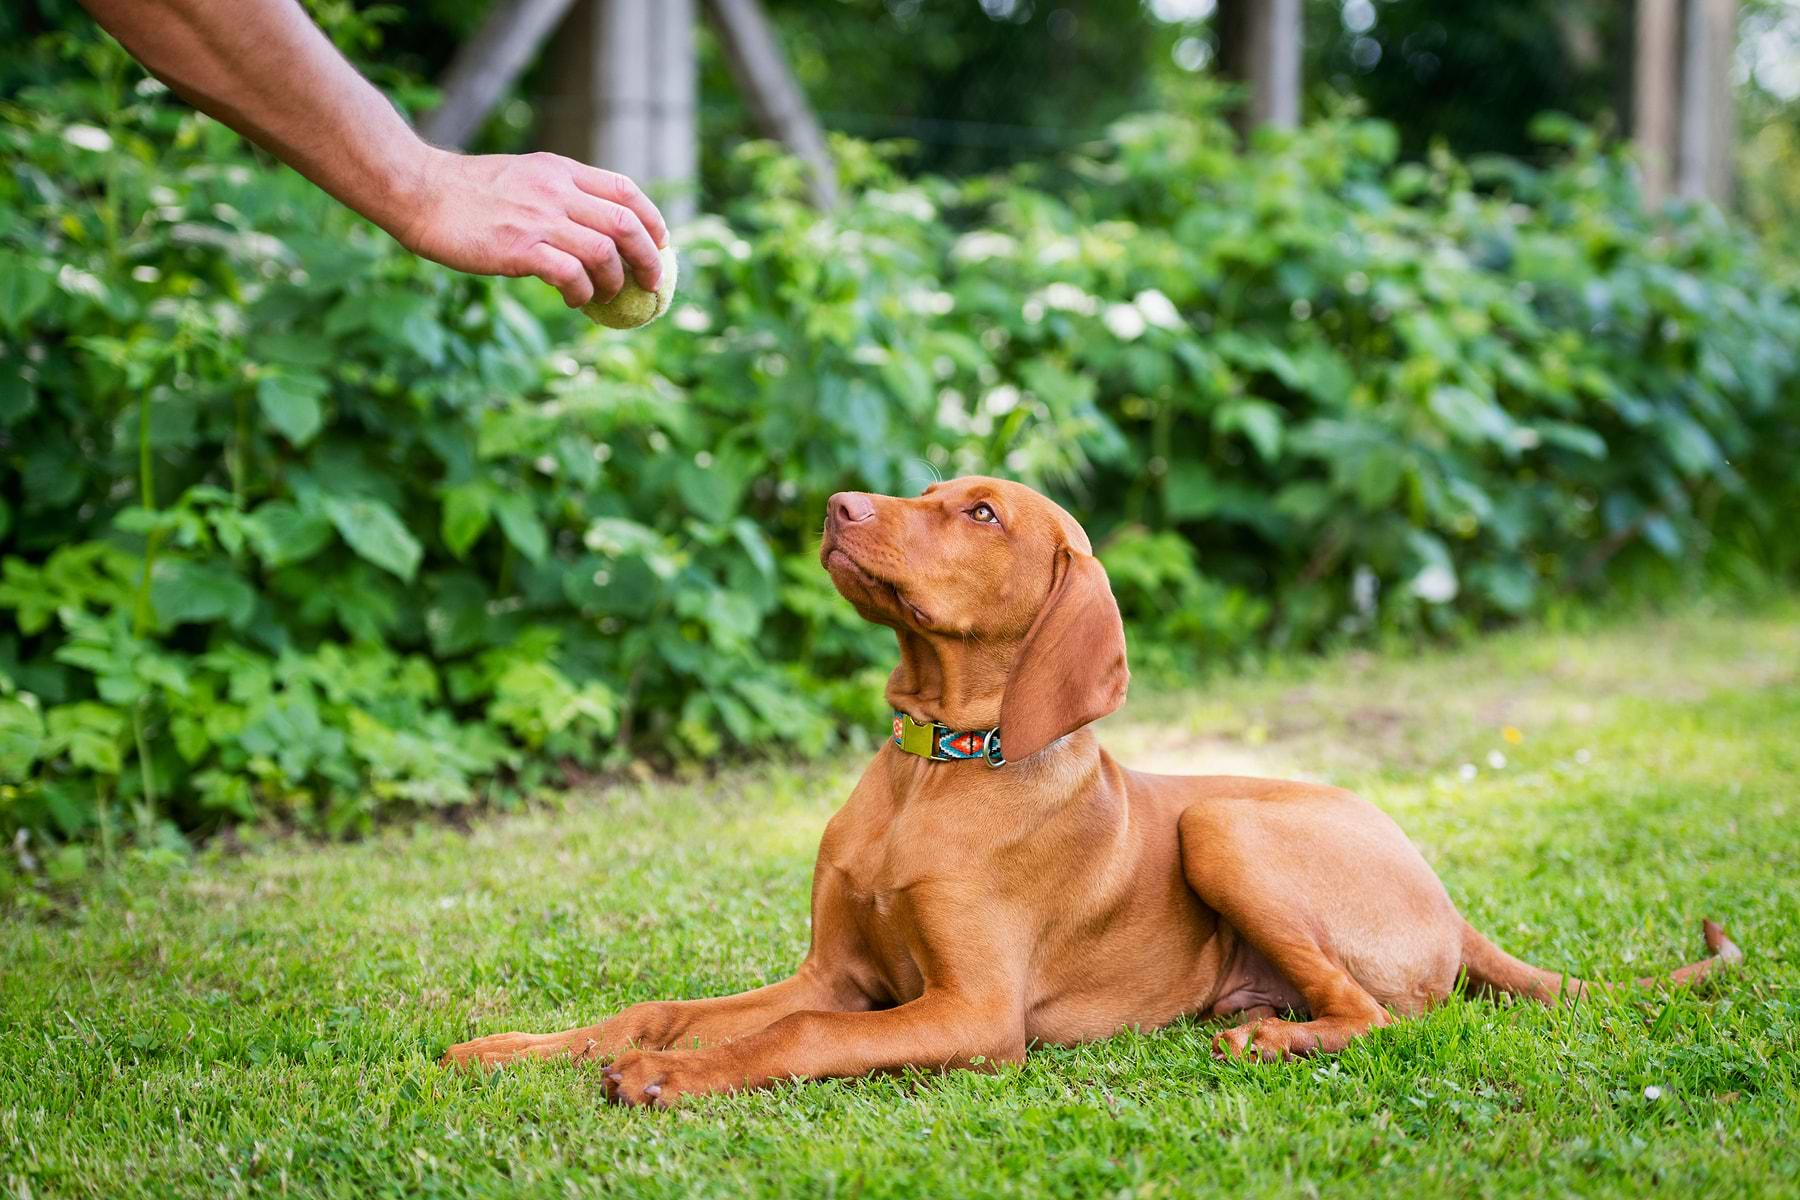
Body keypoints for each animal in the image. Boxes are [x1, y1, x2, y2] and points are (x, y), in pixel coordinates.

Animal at [439, 471, 1742, 1108]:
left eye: (978, 512)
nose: (834, 507)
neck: (936, 767)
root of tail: (1449, 901)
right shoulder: (837, 973)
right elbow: (662, 1006)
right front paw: (513, 1049)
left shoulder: (972, 1018)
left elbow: (796, 1038)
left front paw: (668, 1078)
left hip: (1226, 826)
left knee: (1383, 1018)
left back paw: (1268, 1043)